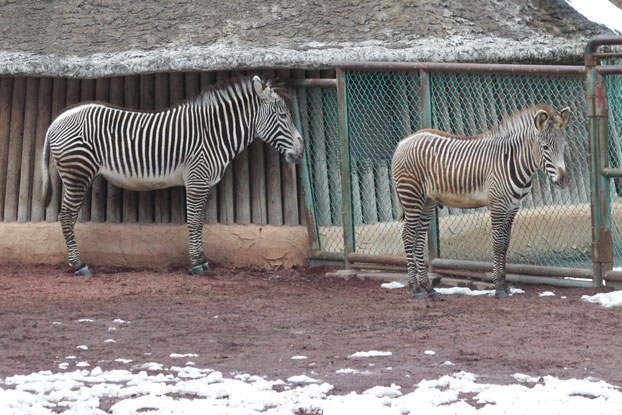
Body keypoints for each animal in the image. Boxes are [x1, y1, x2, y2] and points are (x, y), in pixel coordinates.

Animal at [41, 76, 304, 278]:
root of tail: (56, 121)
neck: (214, 134)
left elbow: (200, 221)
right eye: (283, 115)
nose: (301, 148)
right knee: (66, 217)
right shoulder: (196, 179)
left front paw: (202, 259)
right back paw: (79, 265)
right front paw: (196, 264)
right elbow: (193, 221)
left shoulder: (204, 183)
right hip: (78, 173)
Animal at [392, 103, 572, 300]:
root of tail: (404, 141)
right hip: (412, 195)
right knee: (408, 236)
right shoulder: (498, 205)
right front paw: (498, 287)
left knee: (418, 238)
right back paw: (415, 289)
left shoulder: (513, 206)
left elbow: (505, 243)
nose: (563, 180)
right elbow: (498, 243)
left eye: (564, 146)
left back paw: (430, 289)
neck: (514, 161)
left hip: (427, 201)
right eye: (545, 147)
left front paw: (505, 285)